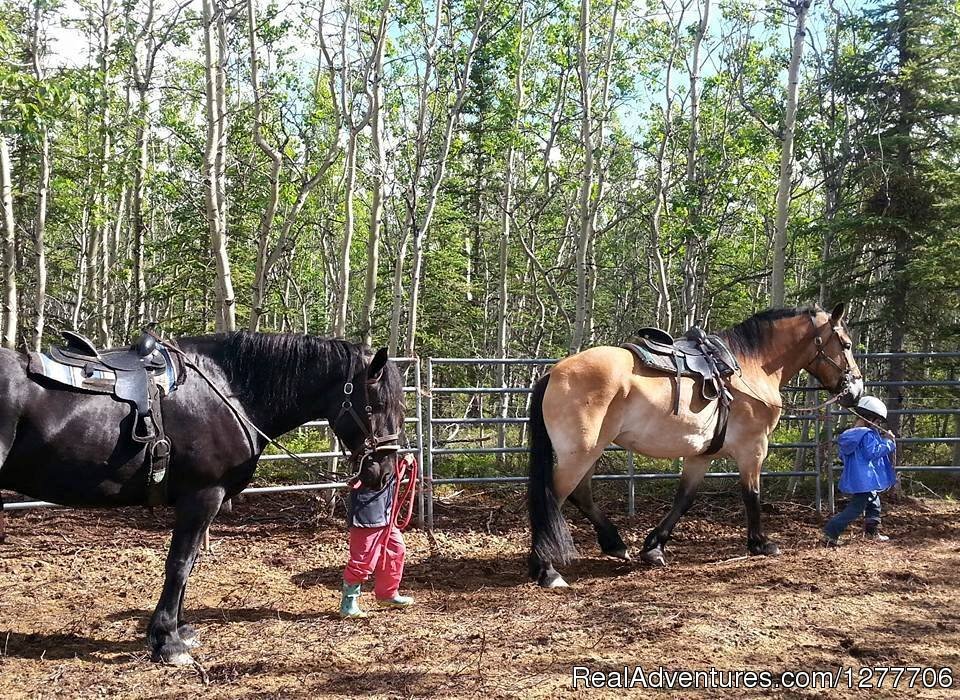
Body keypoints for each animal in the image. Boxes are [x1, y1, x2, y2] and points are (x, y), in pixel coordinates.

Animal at [0, 330, 402, 664]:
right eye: (377, 405)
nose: (383, 472)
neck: (228, 392)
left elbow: (189, 564)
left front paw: (179, 631)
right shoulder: (202, 497)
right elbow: (179, 565)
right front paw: (167, 642)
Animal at [528, 304, 868, 584]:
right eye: (847, 345)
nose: (856, 390)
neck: (751, 367)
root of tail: (553, 373)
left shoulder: (701, 455)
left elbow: (684, 499)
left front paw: (654, 548)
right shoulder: (753, 449)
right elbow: (752, 494)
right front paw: (760, 543)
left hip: (588, 453)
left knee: (580, 494)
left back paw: (614, 544)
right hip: (580, 454)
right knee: (553, 498)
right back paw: (547, 569)